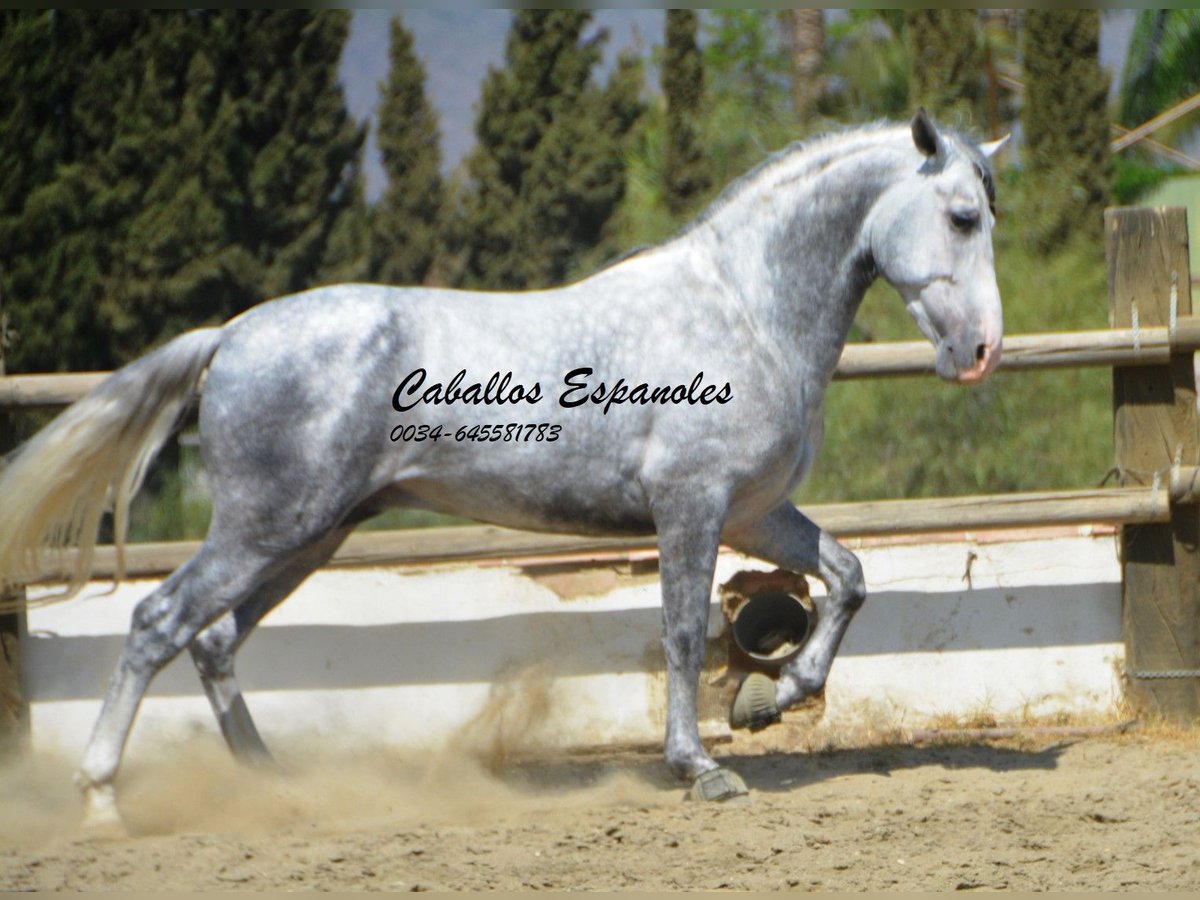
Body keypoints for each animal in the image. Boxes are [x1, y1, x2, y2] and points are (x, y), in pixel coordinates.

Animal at [0, 111, 1003, 825]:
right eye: (961, 216)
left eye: (990, 216)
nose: (981, 352)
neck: (743, 311)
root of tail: (232, 335)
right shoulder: (692, 506)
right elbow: (682, 633)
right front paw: (701, 767)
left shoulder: (756, 511)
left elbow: (848, 579)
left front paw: (771, 701)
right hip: (266, 527)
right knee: (159, 624)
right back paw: (101, 797)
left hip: (310, 536)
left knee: (211, 641)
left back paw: (270, 784)